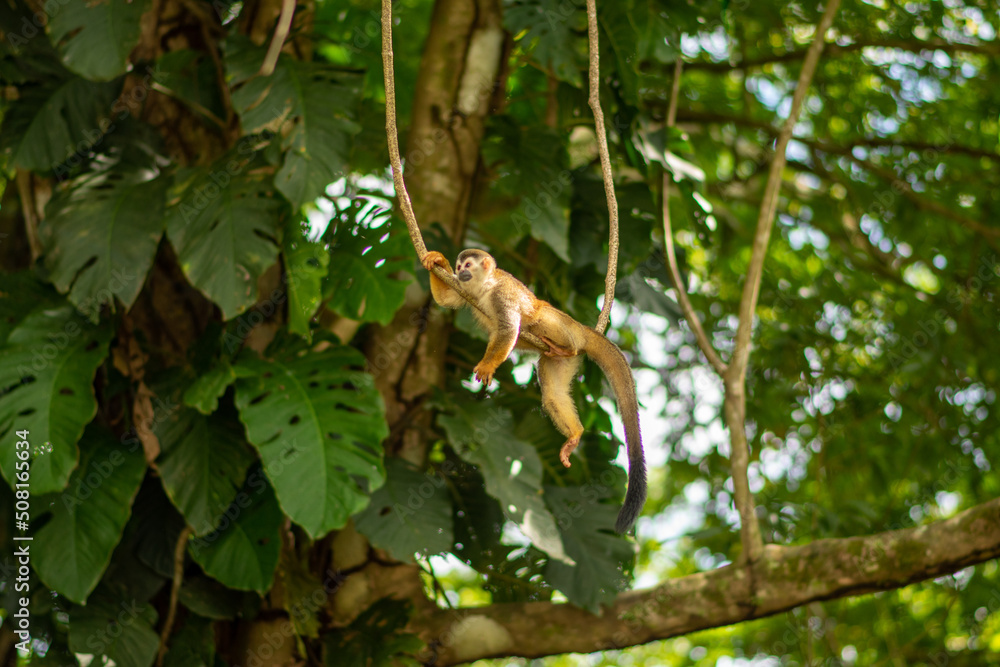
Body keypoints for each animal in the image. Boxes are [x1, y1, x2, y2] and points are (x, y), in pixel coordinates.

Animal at [418, 248, 644, 536]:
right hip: (557, 362)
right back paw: (575, 434)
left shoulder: (502, 294)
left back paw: (563, 345)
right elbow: (447, 300)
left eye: (468, 265)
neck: (484, 286)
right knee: (552, 393)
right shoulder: (464, 289)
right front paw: (436, 259)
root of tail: (581, 330)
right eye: (458, 268)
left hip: (561, 325)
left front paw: (488, 365)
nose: (461, 273)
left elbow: (508, 329)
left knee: (535, 318)